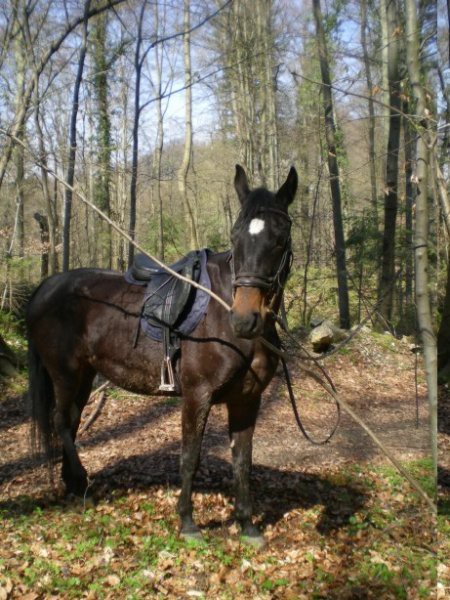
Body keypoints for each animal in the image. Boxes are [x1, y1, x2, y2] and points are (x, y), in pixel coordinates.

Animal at [26, 165, 298, 544]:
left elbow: (242, 461)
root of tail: (45, 287)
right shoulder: (197, 396)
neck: (221, 313)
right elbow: (190, 458)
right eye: (235, 237)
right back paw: (81, 483)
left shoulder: (248, 399)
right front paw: (187, 522)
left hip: (83, 376)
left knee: (74, 421)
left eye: (280, 238)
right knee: (61, 422)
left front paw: (247, 524)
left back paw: (75, 486)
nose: (245, 319)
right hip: (64, 374)